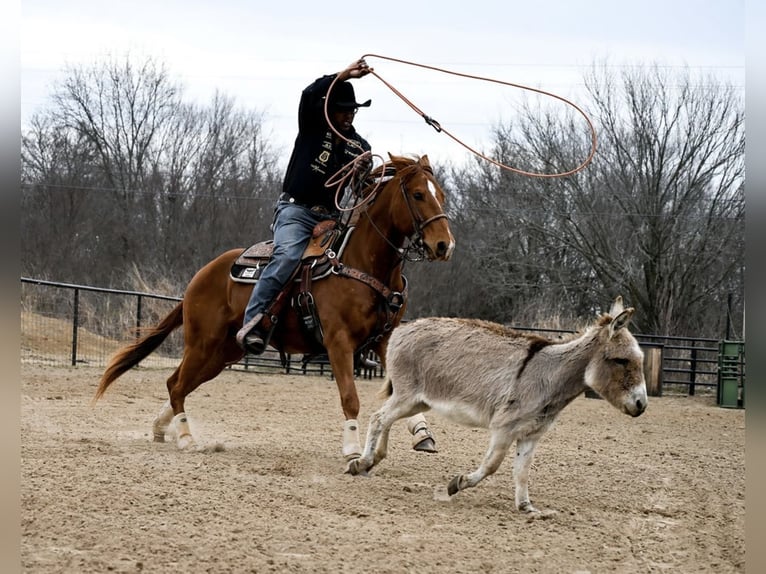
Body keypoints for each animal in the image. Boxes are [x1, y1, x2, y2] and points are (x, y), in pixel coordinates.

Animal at [93, 153, 455, 462]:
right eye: (419, 194)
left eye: (441, 195)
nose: (444, 245)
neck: (359, 262)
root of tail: (202, 275)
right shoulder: (338, 341)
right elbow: (350, 396)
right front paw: (352, 447)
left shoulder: (384, 340)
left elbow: (404, 391)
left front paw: (422, 433)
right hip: (202, 343)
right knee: (179, 385)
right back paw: (185, 438)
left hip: (223, 353)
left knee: (175, 383)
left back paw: (161, 429)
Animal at [346, 296, 648, 513]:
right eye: (621, 360)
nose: (641, 405)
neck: (550, 374)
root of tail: (402, 329)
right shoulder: (504, 427)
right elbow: (492, 465)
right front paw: (458, 484)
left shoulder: (531, 435)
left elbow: (523, 471)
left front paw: (526, 507)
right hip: (407, 395)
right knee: (378, 418)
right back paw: (362, 462)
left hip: (416, 401)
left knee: (386, 419)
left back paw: (374, 459)